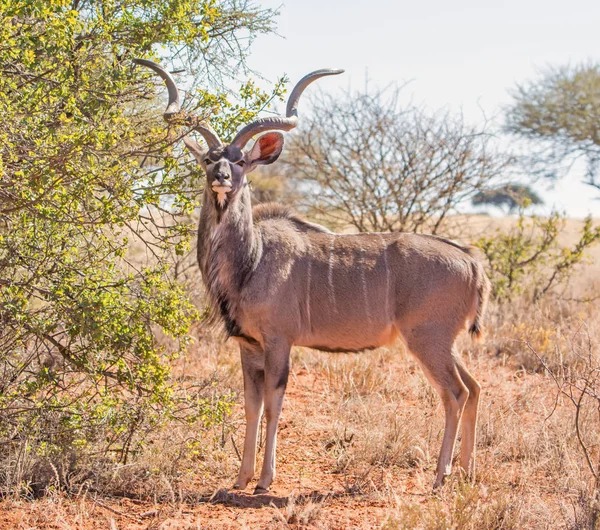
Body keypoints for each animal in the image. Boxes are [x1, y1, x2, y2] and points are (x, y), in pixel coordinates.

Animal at [136, 57, 492, 490]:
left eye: (241, 161)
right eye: (208, 158)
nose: (221, 177)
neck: (252, 260)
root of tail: (471, 262)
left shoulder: (278, 342)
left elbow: (273, 405)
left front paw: (264, 480)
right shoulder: (248, 346)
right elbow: (251, 406)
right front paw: (240, 479)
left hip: (428, 339)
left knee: (455, 393)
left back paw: (441, 476)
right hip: (444, 343)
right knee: (474, 387)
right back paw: (468, 471)